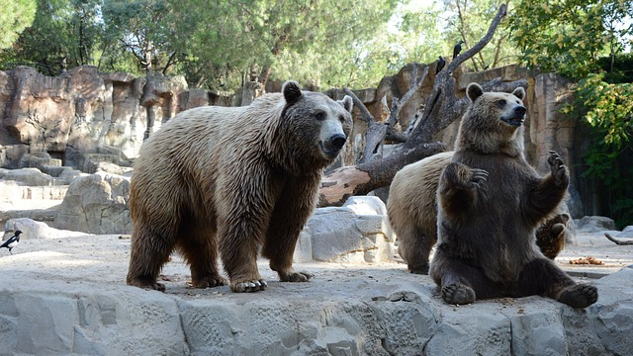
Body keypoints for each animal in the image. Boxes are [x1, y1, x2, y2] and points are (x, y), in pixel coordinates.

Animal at [126, 82, 354, 294]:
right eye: (319, 114)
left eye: (342, 118)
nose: (337, 139)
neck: (282, 154)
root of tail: (154, 135)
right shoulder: (252, 163)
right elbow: (244, 214)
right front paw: (251, 281)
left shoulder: (300, 180)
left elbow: (289, 220)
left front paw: (295, 272)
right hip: (168, 175)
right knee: (157, 227)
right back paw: (145, 280)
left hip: (197, 192)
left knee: (201, 237)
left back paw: (209, 277)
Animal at [428, 82, 596, 308]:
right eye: (501, 101)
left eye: (517, 100)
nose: (520, 110)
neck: (496, 150)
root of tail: (504, 287)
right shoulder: (474, 163)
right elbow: (456, 203)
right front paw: (467, 177)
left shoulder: (516, 173)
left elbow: (535, 200)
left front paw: (558, 167)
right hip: (461, 254)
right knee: (451, 269)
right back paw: (458, 291)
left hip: (528, 258)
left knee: (551, 271)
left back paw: (582, 291)